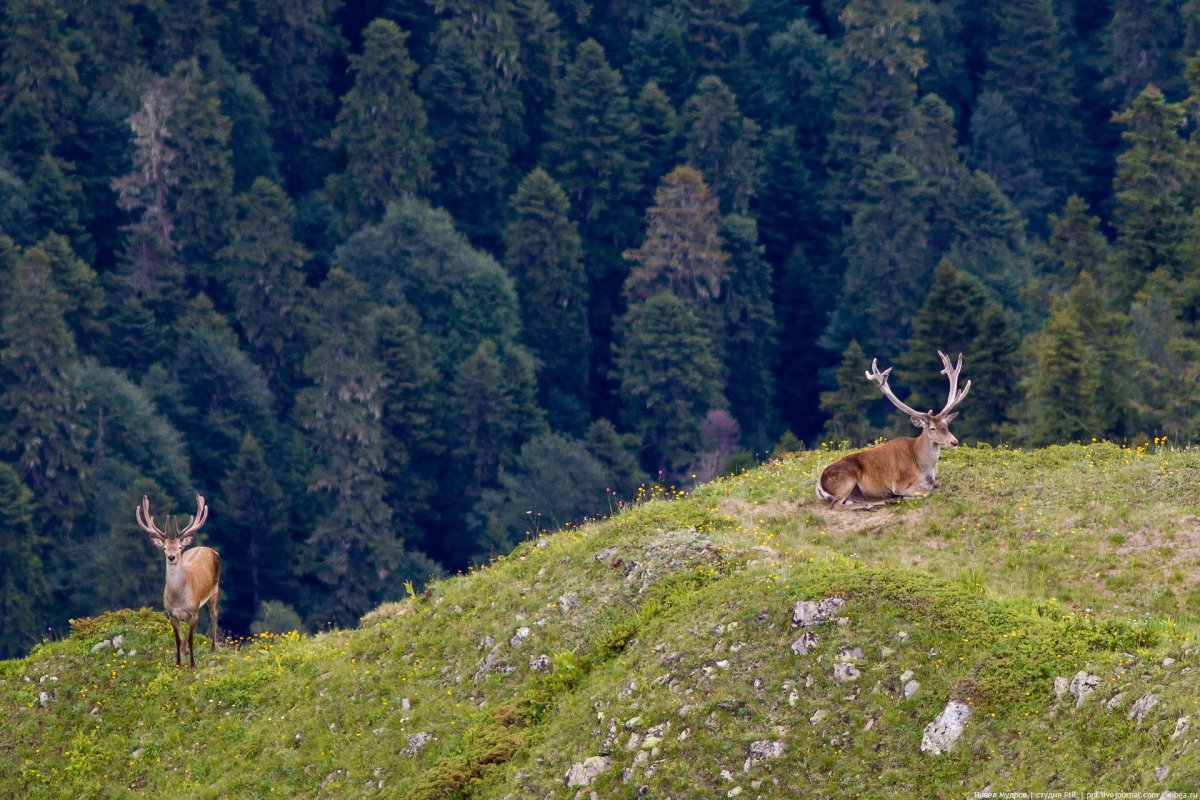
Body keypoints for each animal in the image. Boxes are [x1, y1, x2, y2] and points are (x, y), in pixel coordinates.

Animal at [137, 494, 222, 671]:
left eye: (179, 547)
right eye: (164, 548)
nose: (171, 557)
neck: (178, 599)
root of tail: (210, 549)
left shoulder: (193, 612)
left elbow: (190, 638)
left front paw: (192, 664)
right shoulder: (171, 614)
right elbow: (178, 638)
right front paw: (178, 662)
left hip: (214, 589)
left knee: (214, 614)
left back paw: (213, 648)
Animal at [816, 352, 974, 510]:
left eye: (946, 425)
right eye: (932, 428)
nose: (954, 442)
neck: (925, 469)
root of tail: (819, 485)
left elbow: (937, 486)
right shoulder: (899, 484)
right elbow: (927, 492)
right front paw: (903, 497)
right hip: (846, 479)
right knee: (835, 505)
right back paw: (885, 501)